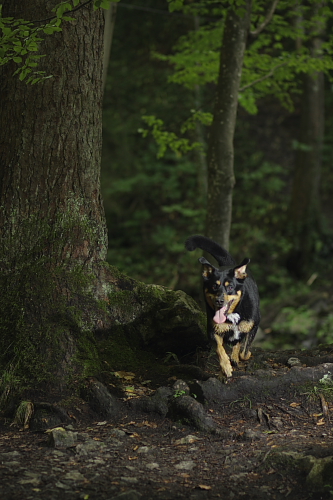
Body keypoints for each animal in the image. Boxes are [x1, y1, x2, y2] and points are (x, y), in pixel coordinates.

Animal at [184, 234, 260, 378]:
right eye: (214, 286)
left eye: (230, 287)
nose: (219, 301)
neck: (233, 313)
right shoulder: (213, 331)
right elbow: (220, 349)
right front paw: (225, 367)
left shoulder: (253, 326)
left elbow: (244, 350)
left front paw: (240, 355)